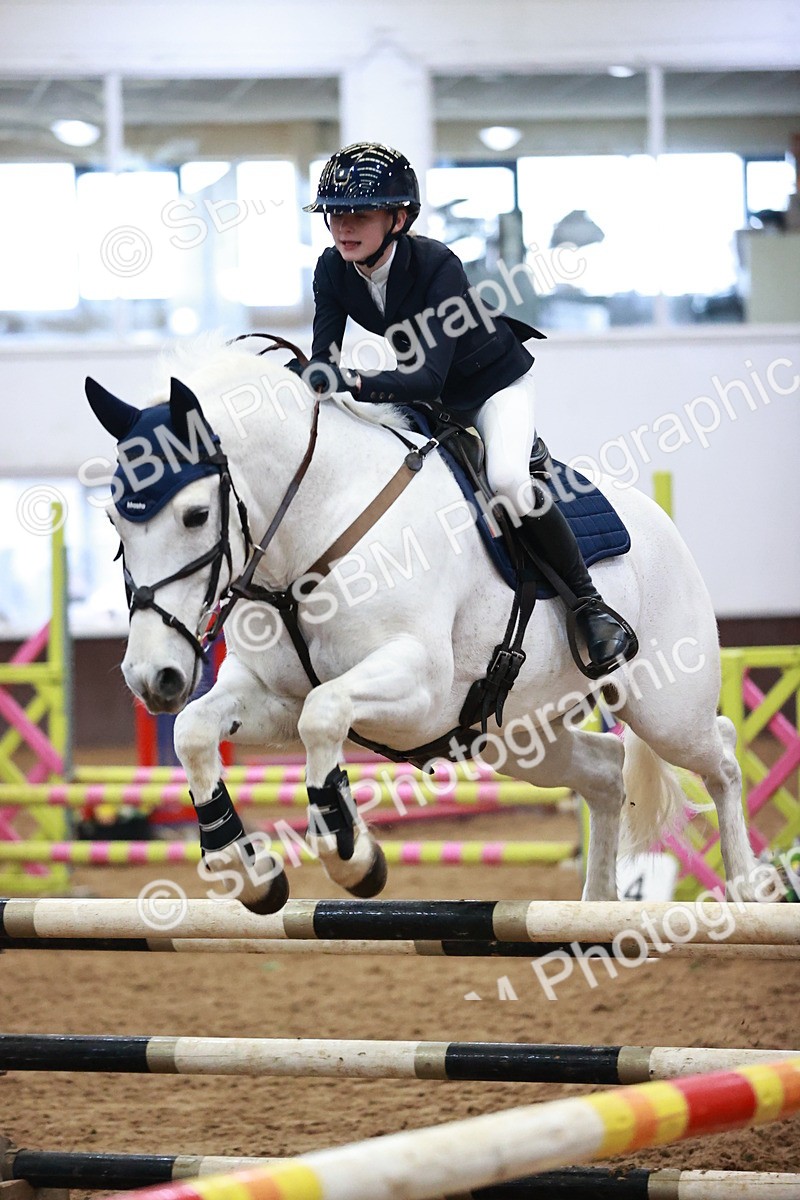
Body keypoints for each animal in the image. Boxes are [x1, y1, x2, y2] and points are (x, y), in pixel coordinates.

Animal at [85, 336, 760, 912]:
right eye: (115, 522)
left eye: (196, 515)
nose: (153, 677)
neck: (314, 532)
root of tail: (658, 519)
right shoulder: (270, 696)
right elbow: (196, 730)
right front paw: (246, 871)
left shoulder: (421, 688)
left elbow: (323, 715)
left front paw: (353, 858)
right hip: (515, 737)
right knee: (603, 770)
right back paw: (598, 907)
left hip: (666, 708)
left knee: (722, 756)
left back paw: (748, 889)